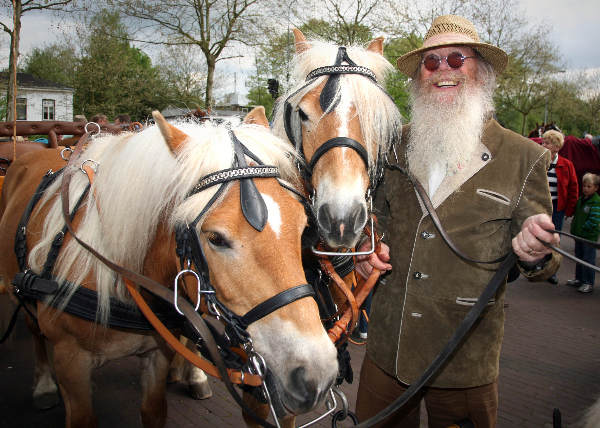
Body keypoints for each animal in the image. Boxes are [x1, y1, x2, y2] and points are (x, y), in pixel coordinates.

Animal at [0, 109, 338, 428]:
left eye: (303, 226)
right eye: (216, 238)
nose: (317, 374)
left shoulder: (157, 351)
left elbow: (154, 412)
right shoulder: (71, 360)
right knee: (33, 328)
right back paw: (44, 385)